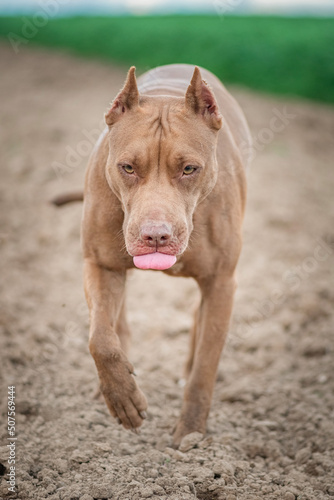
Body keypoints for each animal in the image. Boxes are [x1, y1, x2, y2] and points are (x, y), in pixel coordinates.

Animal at [53, 64, 250, 448]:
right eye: (128, 167)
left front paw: (190, 435)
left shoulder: (221, 282)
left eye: (189, 169)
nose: (156, 236)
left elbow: (205, 367)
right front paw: (123, 398)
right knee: (117, 322)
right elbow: (100, 339)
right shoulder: (100, 264)